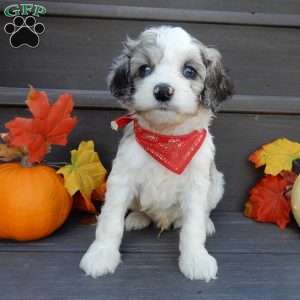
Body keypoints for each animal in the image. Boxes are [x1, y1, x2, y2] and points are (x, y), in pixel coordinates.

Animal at [80, 25, 234, 282]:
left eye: (189, 71)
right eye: (144, 69)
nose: (163, 90)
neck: (167, 138)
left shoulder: (197, 183)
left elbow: (193, 227)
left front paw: (196, 259)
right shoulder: (121, 179)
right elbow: (110, 221)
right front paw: (101, 255)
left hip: (216, 184)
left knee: (201, 212)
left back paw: (206, 223)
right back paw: (136, 218)